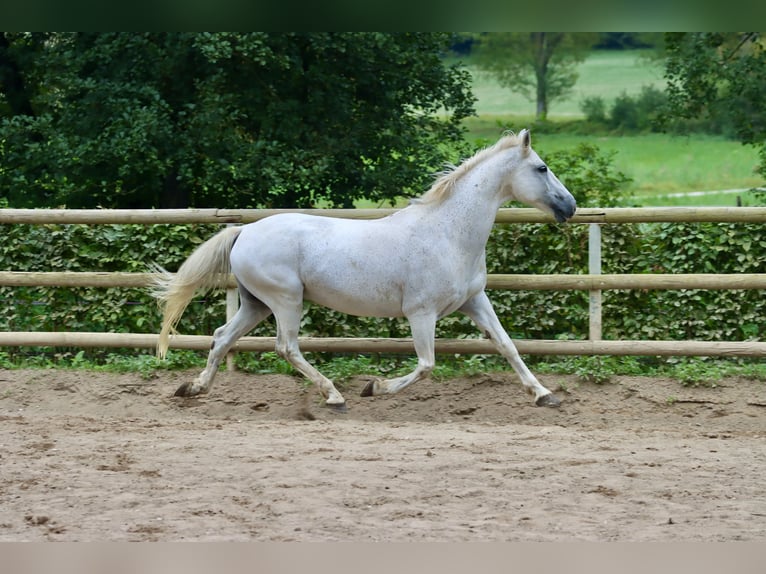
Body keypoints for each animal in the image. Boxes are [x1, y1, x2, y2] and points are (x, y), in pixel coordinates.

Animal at [154, 130, 576, 410]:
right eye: (542, 168)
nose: (570, 206)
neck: (448, 233)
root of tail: (245, 231)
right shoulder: (421, 313)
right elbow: (427, 365)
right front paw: (374, 387)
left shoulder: (475, 301)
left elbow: (507, 345)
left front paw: (544, 394)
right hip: (285, 301)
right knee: (286, 347)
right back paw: (334, 396)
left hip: (255, 303)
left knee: (222, 337)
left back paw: (194, 389)